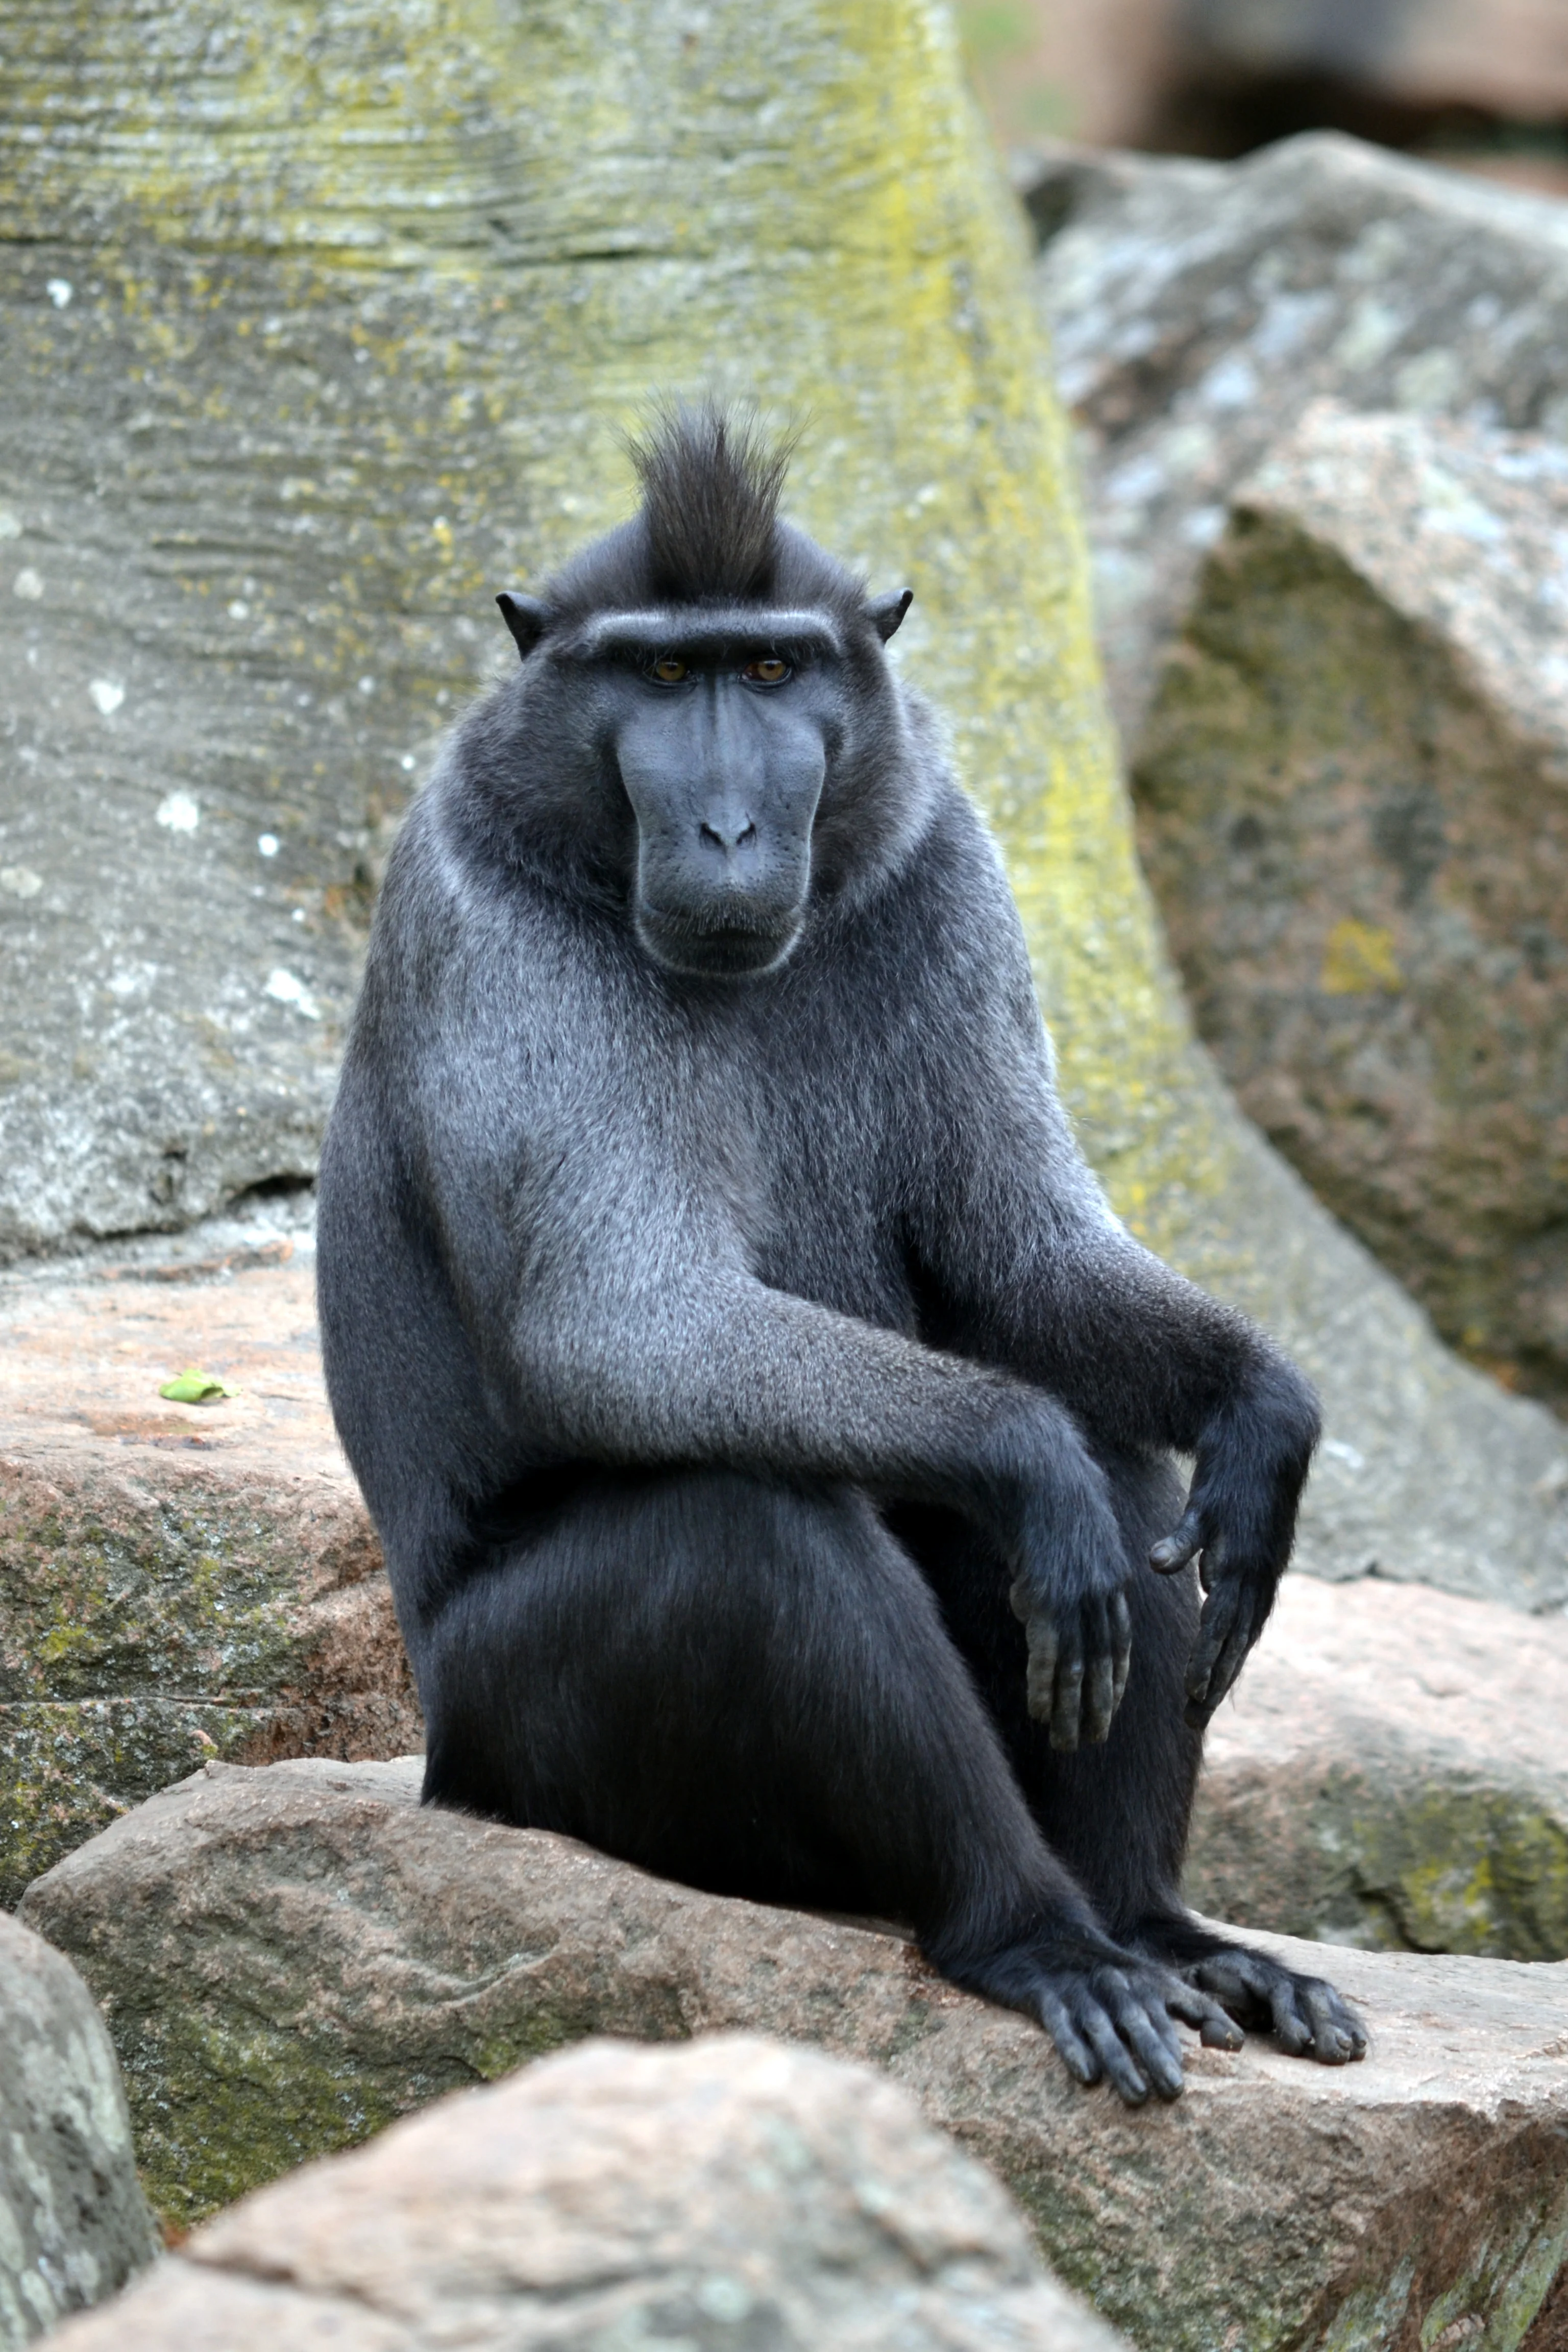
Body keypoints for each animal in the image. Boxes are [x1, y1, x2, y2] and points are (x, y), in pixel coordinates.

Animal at [316, 405, 1366, 2104]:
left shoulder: (948, 866)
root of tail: (436, 1757)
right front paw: (1022, 1450)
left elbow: (1023, 1262)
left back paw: (1156, 1927)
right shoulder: (490, 924)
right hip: (517, 1740)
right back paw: (1036, 1935)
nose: (732, 828)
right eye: (662, 677)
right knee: (762, 1525)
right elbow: (614, 1322)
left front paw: (1264, 1417)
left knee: (1126, 1465)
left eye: (770, 671)